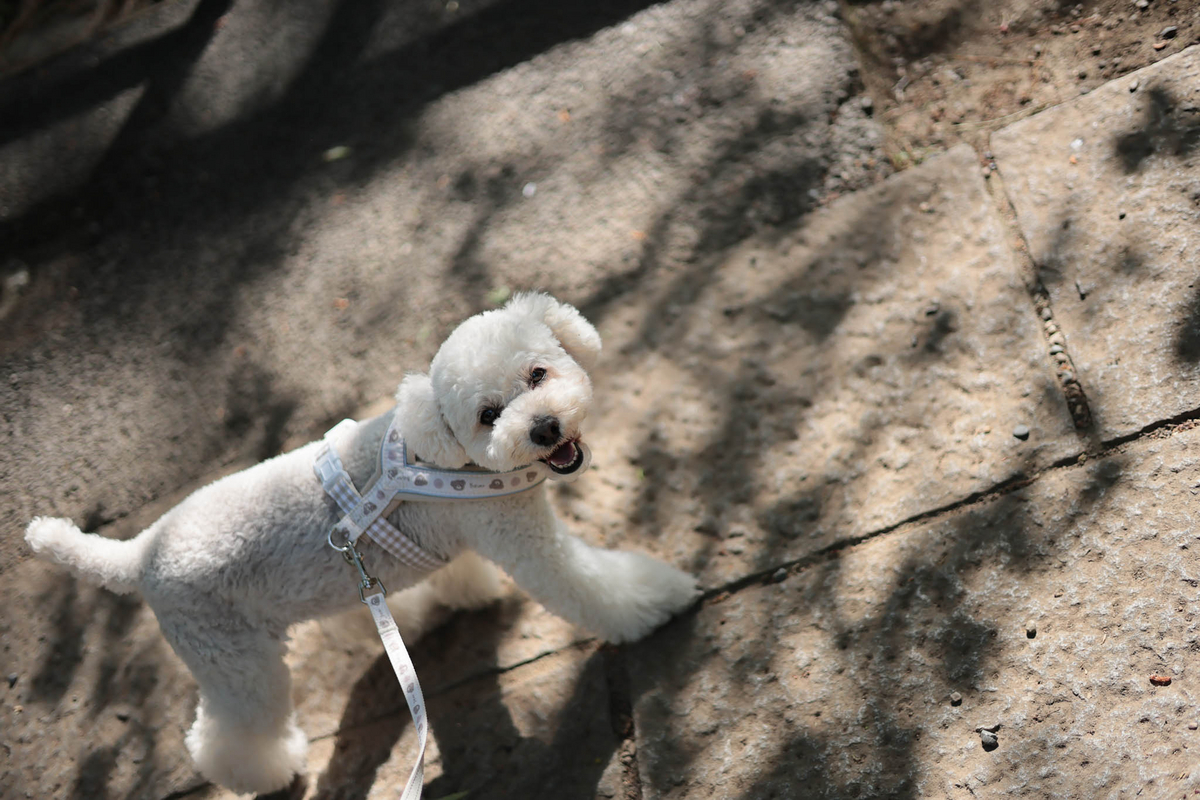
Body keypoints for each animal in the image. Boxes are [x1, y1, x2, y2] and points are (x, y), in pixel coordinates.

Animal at [25, 292, 700, 795]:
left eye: (538, 373)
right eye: (487, 414)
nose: (545, 427)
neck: (448, 460)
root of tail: (137, 553)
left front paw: (465, 595)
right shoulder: (523, 538)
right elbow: (593, 586)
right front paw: (661, 601)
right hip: (236, 663)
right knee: (226, 735)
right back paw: (265, 772)